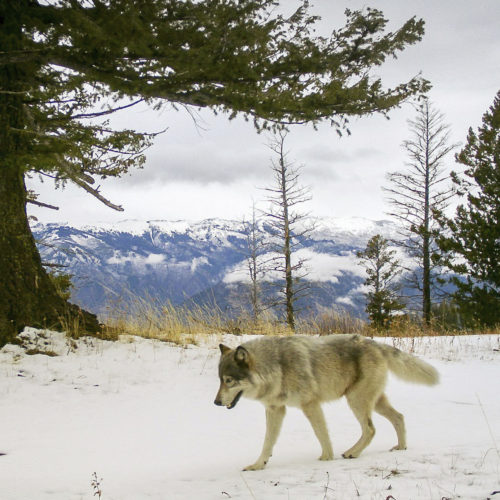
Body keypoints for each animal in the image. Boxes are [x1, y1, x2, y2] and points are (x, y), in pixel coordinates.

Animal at [213, 334, 440, 470]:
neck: (277, 367)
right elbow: (267, 441)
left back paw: (352, 452)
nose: (215, 402)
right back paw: (401, 447)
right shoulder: (275, 409)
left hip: (356, 401)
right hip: (373, 402)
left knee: (370, 429)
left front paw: (326, 458)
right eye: (220, 380)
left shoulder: (310, 404)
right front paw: (258, 465)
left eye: (229, 381)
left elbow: (321, 433)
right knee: (399, 417)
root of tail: (375, 343)